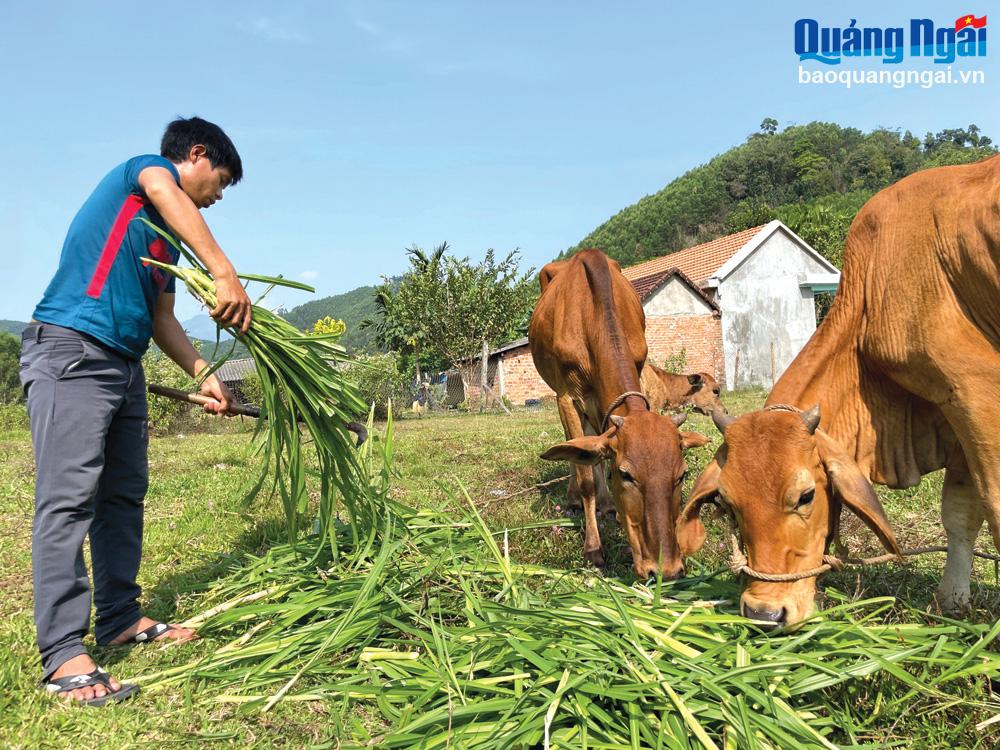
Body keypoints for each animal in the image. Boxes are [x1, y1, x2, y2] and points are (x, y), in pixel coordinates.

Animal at [528, 250, 708, 580]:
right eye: (625, 474)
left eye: (682, 474)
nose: (666, 570)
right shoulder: (567, 396)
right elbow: (585, 472)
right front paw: (593, 550)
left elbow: (597, 451)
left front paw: (609, 508)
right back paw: (574, 501)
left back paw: (607, 506)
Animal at [680, 159, 1000, 628]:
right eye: (727, 503)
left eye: (806, 496)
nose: (764, 613)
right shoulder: (956, 420)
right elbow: (960, 515)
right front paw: (953, 602)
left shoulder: (978, 394)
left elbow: (994, 509)